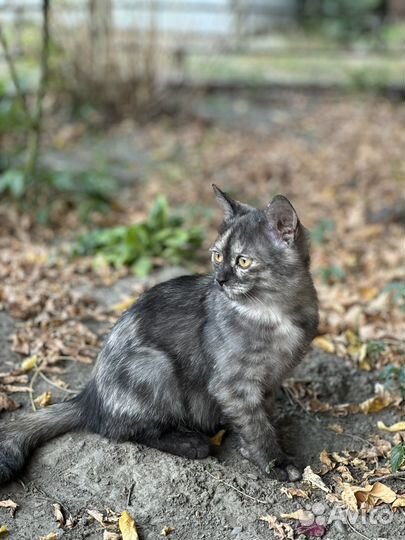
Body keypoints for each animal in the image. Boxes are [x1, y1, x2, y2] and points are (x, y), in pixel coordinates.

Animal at [0, 188, 318, 484]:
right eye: (217, 256)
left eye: (243, 262)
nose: (220, 280)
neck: (274, 312)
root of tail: (89, 396)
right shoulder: (233, 384)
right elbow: (256, 426)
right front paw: (275, 462)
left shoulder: (271, 380)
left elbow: (261, 417)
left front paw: (251, 450)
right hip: (155, 366)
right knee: (122, 429)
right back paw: (189, 442)